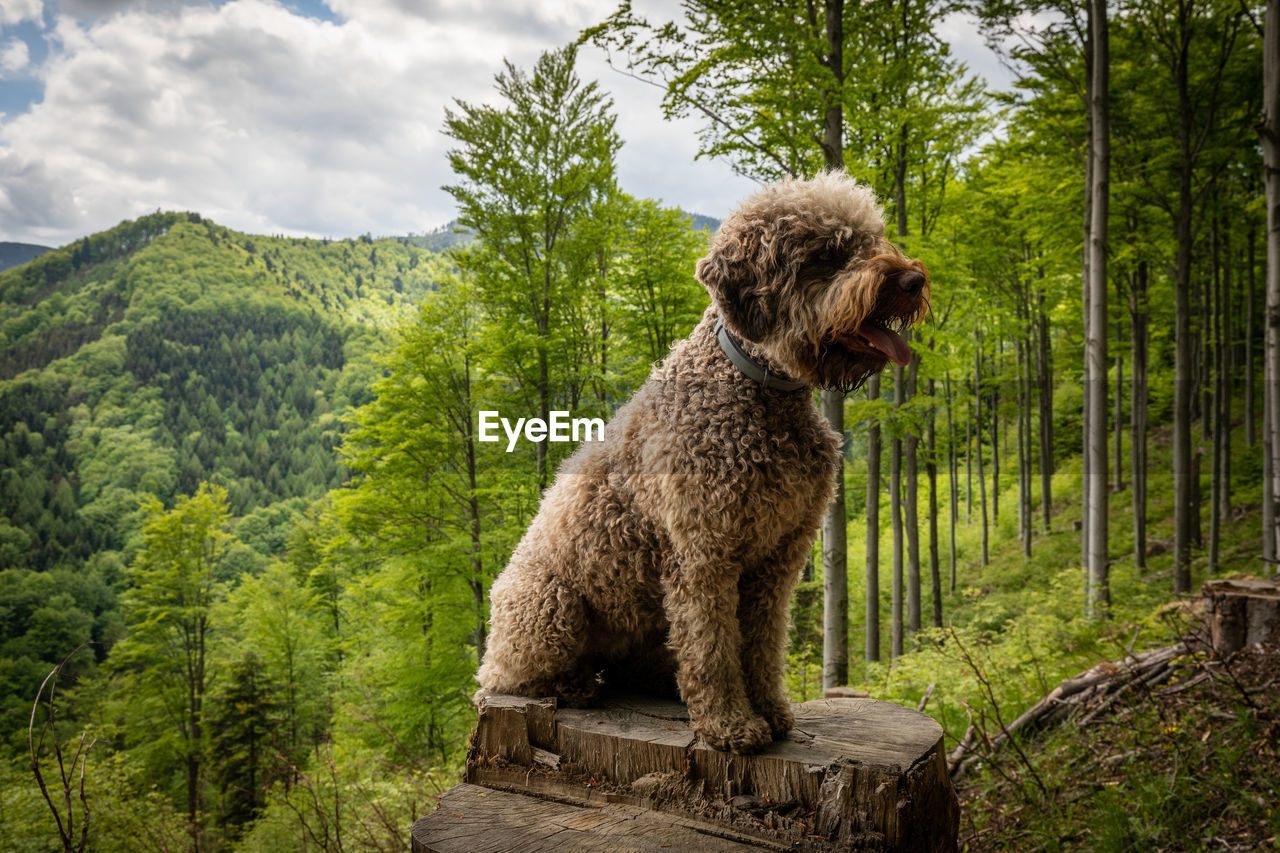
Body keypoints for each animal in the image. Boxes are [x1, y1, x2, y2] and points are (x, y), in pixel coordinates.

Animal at [481, 171, 931, 753]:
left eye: (873, 239)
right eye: (828, 254)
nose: (913, 280)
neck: (756, 390)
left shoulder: (779, 559)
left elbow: (759, 643)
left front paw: (771, 710)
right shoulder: (704, 555)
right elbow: (714, 648)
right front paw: (730, 725)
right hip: (547, 606)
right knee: (507, 677)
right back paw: (574, 684)